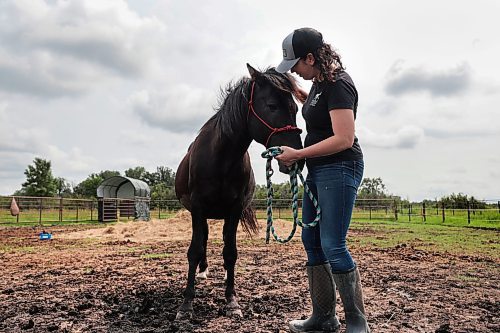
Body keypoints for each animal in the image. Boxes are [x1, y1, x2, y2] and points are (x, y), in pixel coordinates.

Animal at [174, 64, 302, 316]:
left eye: (295, 108)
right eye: (272, 106)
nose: (296, 159)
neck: (221, 157)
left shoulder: (234, 210)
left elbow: (231, 252)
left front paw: (231, 300)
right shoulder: (198, 208)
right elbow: (194, 250)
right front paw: (186, 303)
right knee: (203, 238)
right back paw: (203, 271)